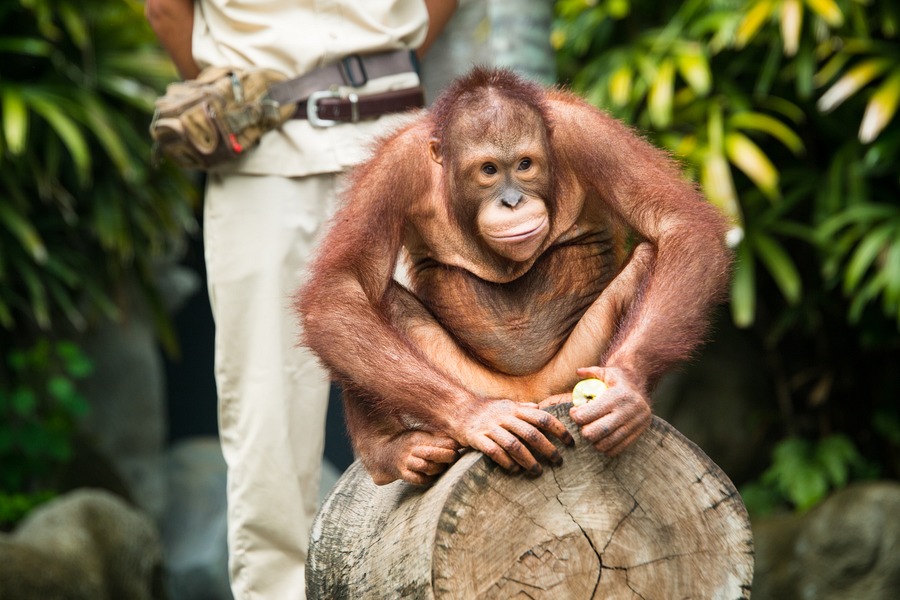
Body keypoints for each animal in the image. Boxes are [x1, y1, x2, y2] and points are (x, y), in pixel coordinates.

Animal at [295, 67, 731, 486]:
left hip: (573, 368)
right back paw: (395, 453)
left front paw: (624, 391)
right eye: (488, 170)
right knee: (367, 300)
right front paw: (475, 417)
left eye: (524, 164)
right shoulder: (395, 167)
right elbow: (340, 286)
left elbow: (679, 226)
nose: (512, 200)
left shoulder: (589, 134)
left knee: (649, 254)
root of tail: (529, 396)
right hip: (478, 385)